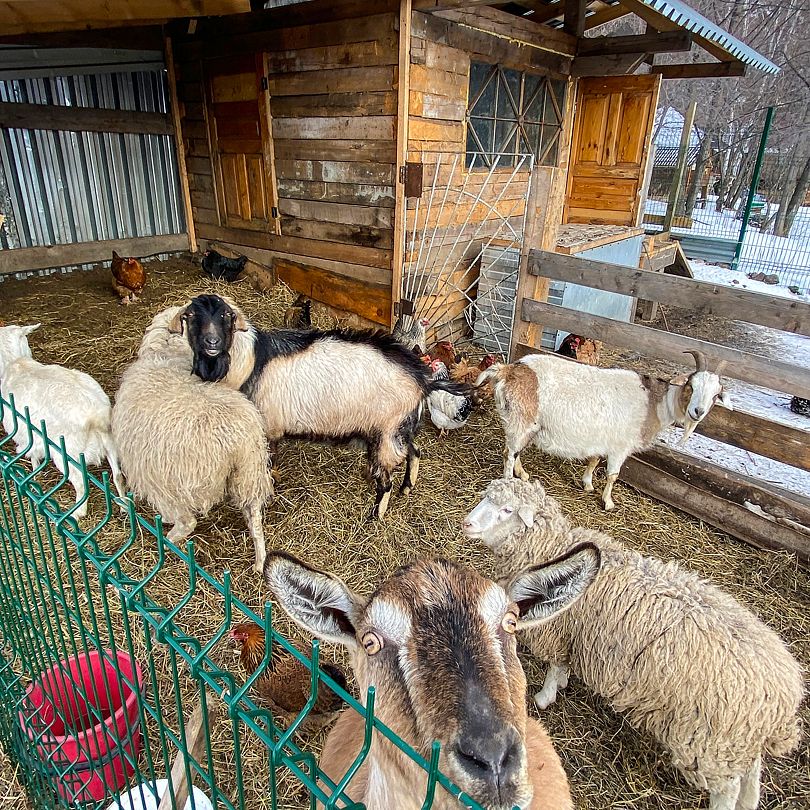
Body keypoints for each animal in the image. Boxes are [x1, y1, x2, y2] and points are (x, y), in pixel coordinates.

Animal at [0, 324, 126, 519]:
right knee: (118, 476)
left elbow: (31, 453)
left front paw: (34, 474)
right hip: (111, 442)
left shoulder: (23, 431)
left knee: (81, 485)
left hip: (68, 455)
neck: (15, 362)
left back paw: (77, 513)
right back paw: (123, 506)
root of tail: (96, 415)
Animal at [111, 307, 273, 572]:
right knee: (254, 515)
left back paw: (169, 537)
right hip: (249, 472)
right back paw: (260, 561)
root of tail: (237, 440)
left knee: (187, 521)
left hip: (174, 479)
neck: (165, 357)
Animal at [168, 294, 468, 519]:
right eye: (190, 316)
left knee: (386, 480)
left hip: (388, 430)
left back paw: (376, 515)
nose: (212, 343)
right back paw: (407, 488)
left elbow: (270, 464)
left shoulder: (269, 428)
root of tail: (421, 378)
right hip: (399, 427)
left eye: (226, 316)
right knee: (414, 452)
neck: (250, 362)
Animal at [463, 477, 804, 810]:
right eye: (486, 497)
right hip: (736, 742)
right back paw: (750, 801)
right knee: (752, 770)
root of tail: (785, 697)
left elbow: (555, 665)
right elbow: (564, 666)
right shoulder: (573, 635)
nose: (467, 524)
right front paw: (561, 684)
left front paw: (546, 696)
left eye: (507, 510)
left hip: (709, 742)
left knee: (727, 789)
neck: (552, 547)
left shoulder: (558, 631)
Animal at [477, 350, 731, 510]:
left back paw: (523, 475)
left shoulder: (602, 439)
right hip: (521, 419)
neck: (654, 403)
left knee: (517, 450)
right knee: (509, 454)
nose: (698, 411)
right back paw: (509, 482)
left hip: (527, 424)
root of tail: (509, 370)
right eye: (691, 385)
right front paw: (608, 502)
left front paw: (588, 484)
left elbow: (594, 460)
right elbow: (613, 475)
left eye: (716, 394)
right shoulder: (620, 446)